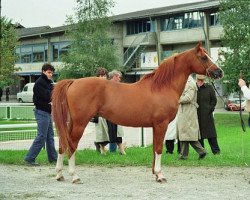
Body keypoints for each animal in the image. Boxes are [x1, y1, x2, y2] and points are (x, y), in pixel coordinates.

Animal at [52, 42, 223, 183]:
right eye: (203, 57)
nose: (219, 72)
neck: (162, 87)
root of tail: (73, 82)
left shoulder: (155, 126)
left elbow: (154, 148)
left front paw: (155, 173)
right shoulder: (161, 125)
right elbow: (159, 148)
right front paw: (160, 175)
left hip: (71, 122)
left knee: (62, 144)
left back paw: (59, 174)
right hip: (80, 123)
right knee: (71, 145)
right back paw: (74, 176)